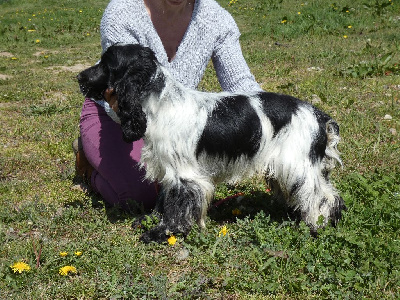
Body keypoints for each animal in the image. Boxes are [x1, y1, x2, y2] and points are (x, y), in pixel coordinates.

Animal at [79, 44, 346, 241]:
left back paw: (317, 226)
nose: (80, 76)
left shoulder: (184, 174)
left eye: (106, 63)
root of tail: (319, 115)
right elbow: (164, 199)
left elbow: (177, 205)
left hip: (297, 165)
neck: (162, 102)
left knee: (324, 197)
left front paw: (163, 232)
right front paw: (151, 221)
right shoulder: (167, 169)